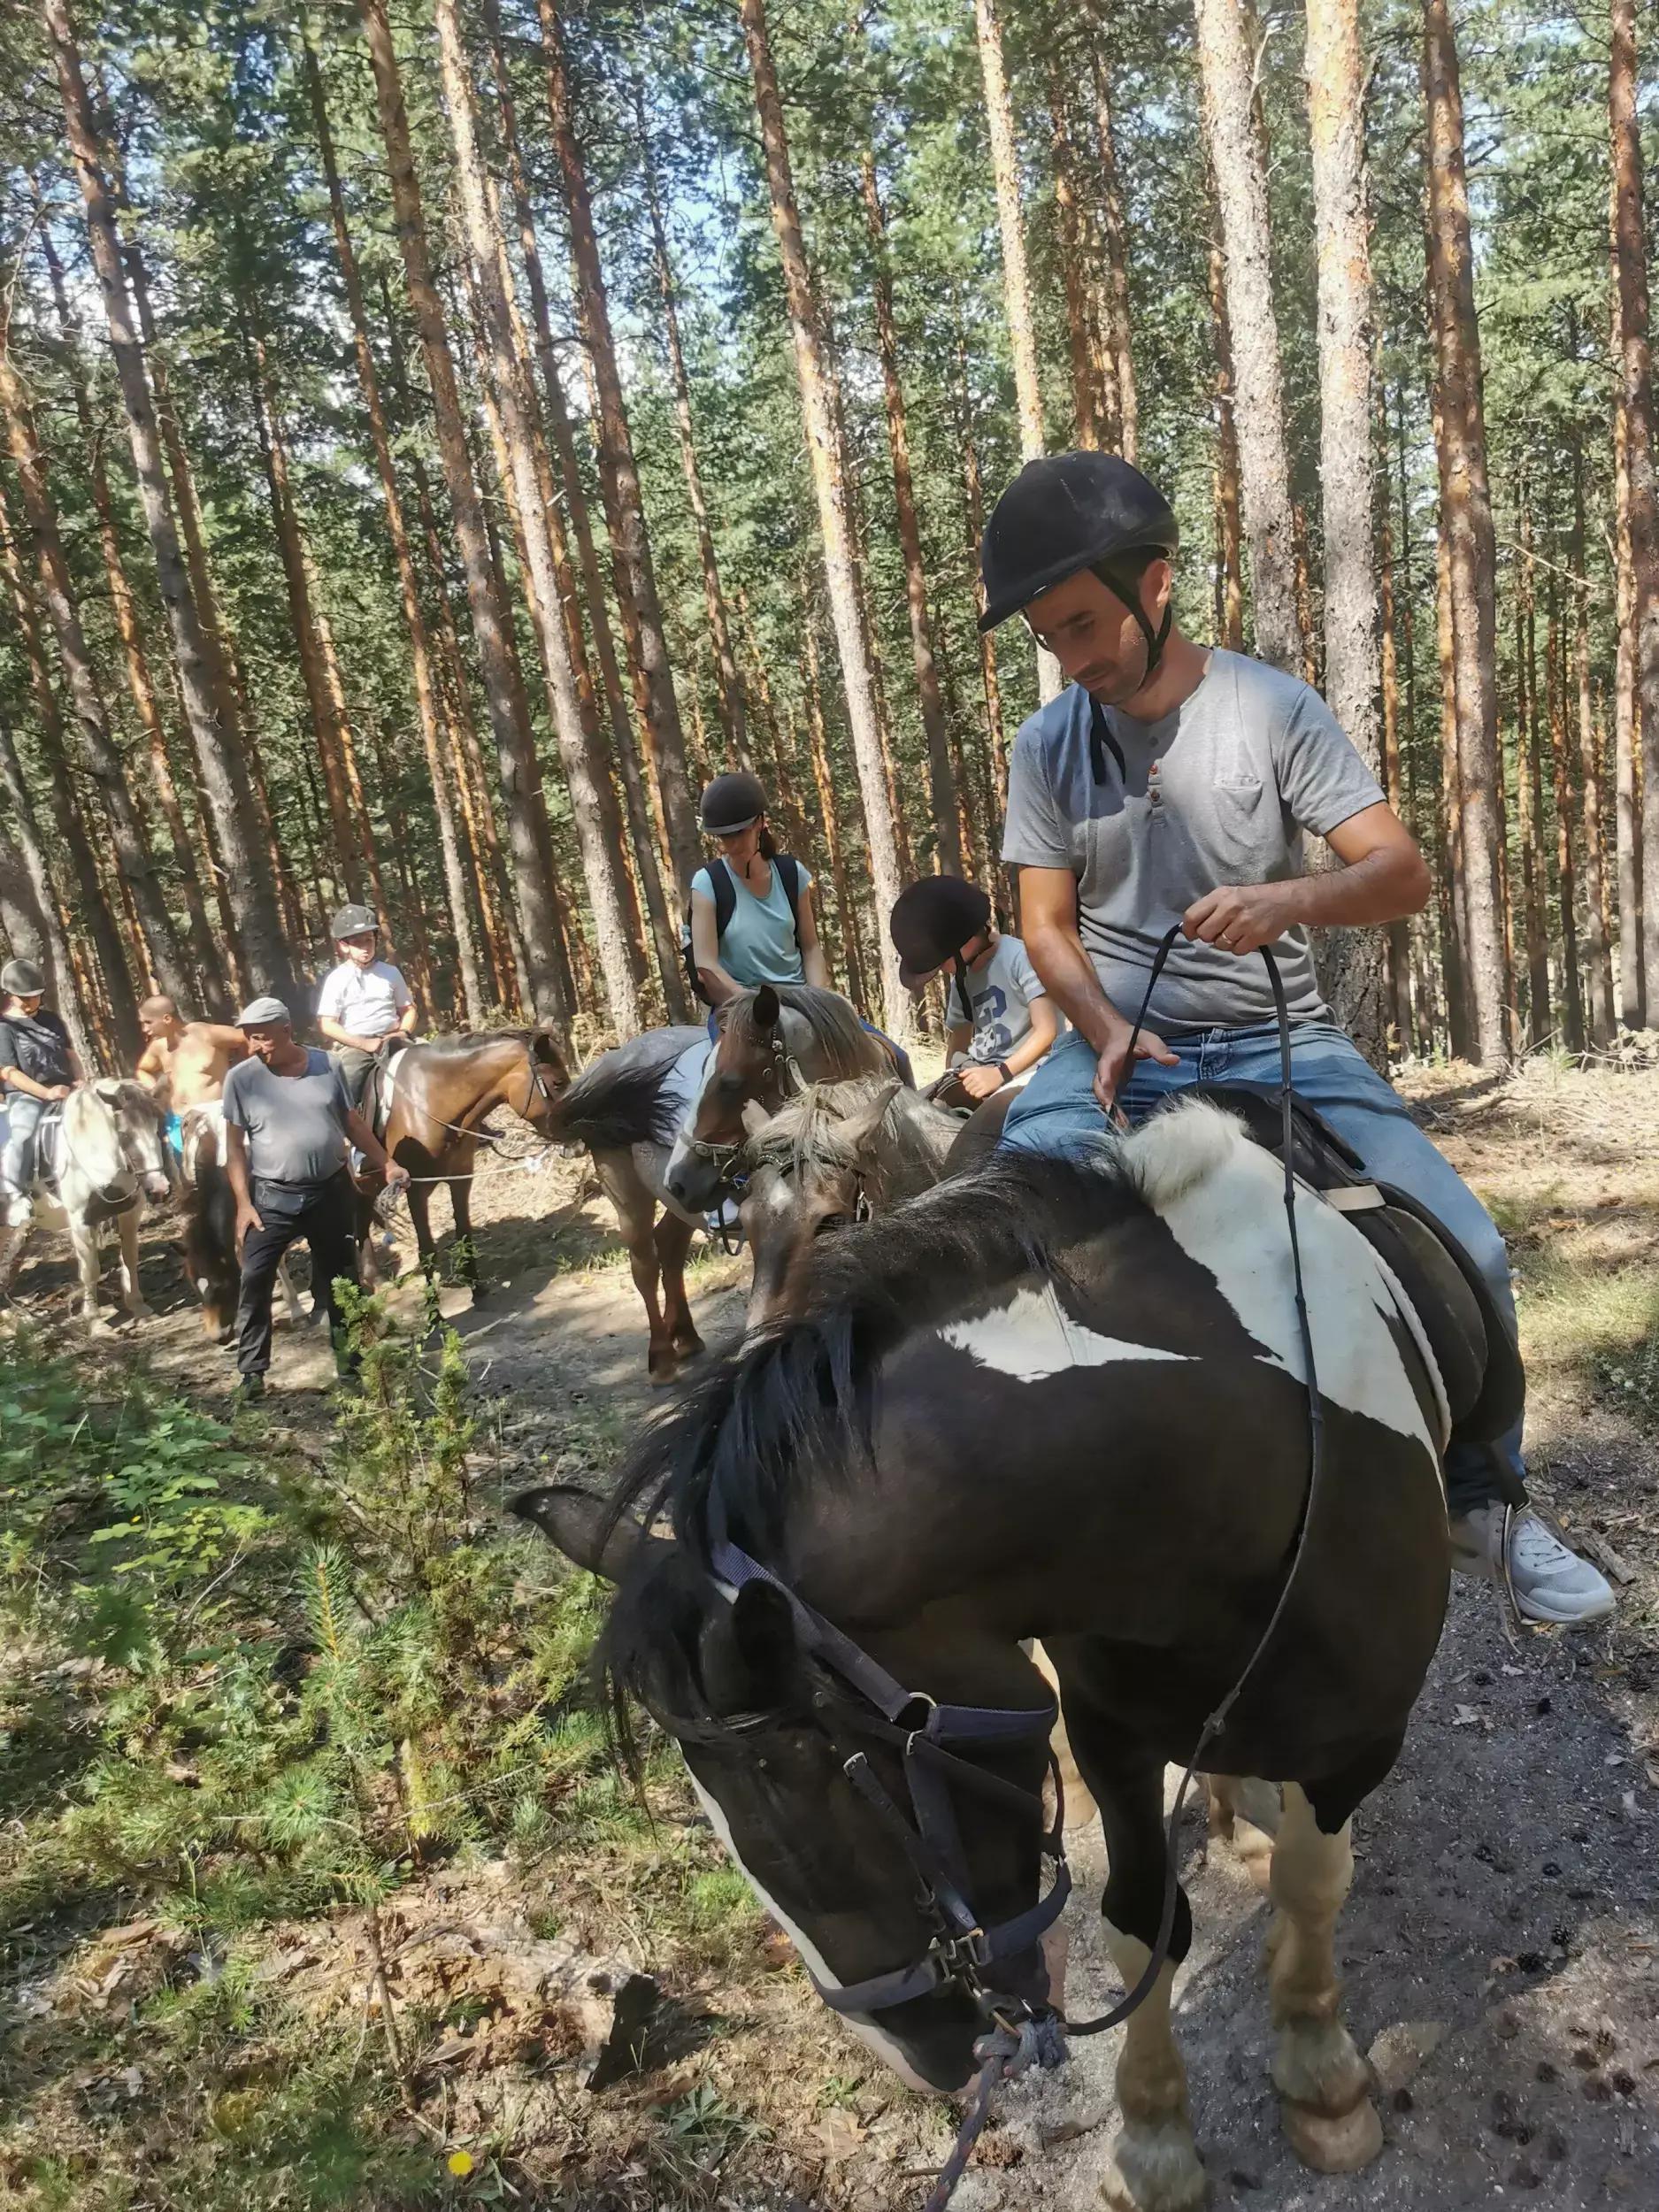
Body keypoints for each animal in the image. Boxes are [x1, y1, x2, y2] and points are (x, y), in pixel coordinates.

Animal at [7, 1075, 173, 1327]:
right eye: (125, 1135)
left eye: (160, 1127)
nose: (160, 1189)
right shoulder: (80, 1221)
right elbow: (90, 1269)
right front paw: (95, 1322)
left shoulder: (129, 1213)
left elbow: (129, 1258)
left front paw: (138, 1307)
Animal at [358, 1022, 571, 1292]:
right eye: (558, 1083)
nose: (578, 1139)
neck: (430, 1102)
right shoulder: (415, 1189)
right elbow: (426, 1248)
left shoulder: (461, 1177)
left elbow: (464, 1232)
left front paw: (476, 1286)